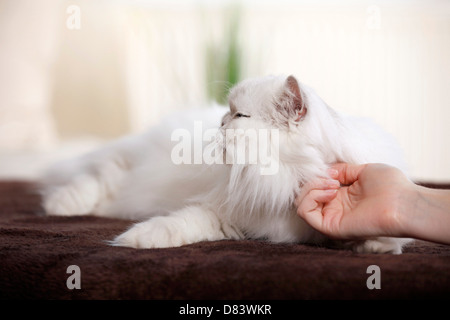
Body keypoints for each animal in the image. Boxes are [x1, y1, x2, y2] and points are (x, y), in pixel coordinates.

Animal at [40, 74, 414, 252]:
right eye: (229, 112)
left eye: (238, 115)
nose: (220, 121)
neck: (288, 179)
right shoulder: (228, 212)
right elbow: (177, 224)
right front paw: (135, 240)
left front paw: (378, 245)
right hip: (127, 164)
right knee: (96, 178)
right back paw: (61, 206)